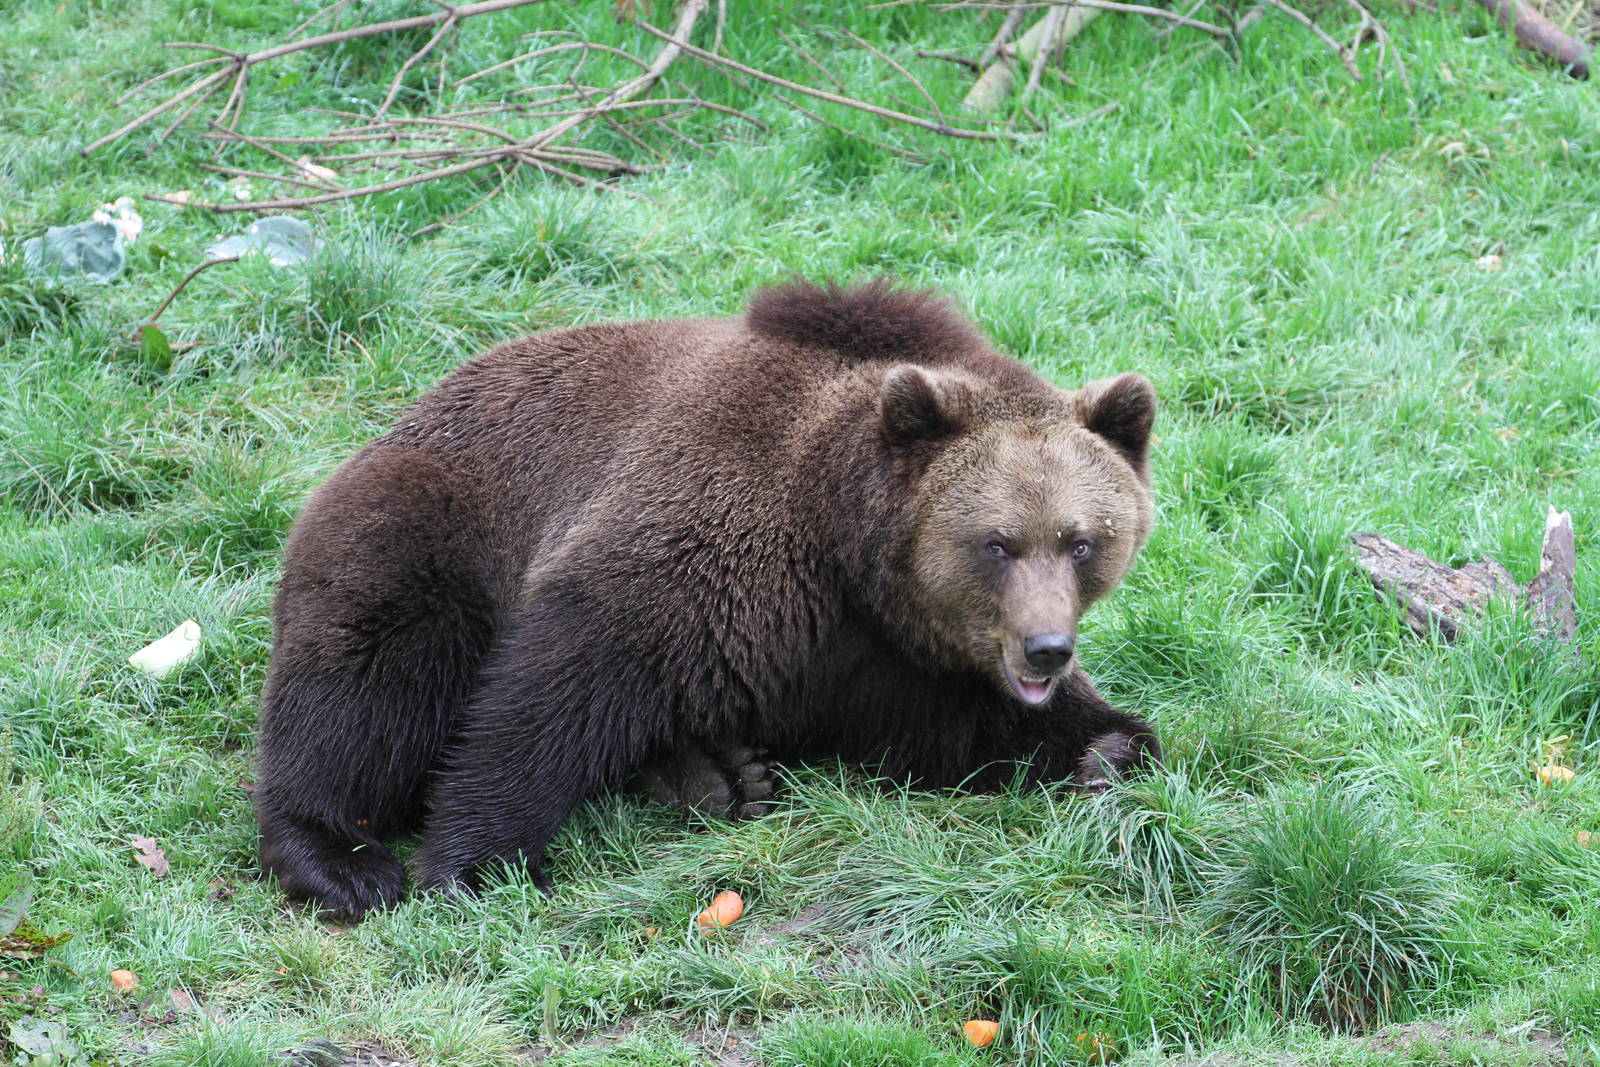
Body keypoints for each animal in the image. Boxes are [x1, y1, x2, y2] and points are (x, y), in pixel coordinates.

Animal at [254, 279, 1160, 920]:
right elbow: (560, 684)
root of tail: (400, 417)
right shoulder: (710, 544)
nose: (1047, 647)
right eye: (997, 542)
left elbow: (970, 726)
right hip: (429, 522)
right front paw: (476, 863)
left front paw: (1106, 744)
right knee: (370, 678)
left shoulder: (888, 654)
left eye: (1083, 540)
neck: (846, 540)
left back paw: (719, 773)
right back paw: (340, 857)